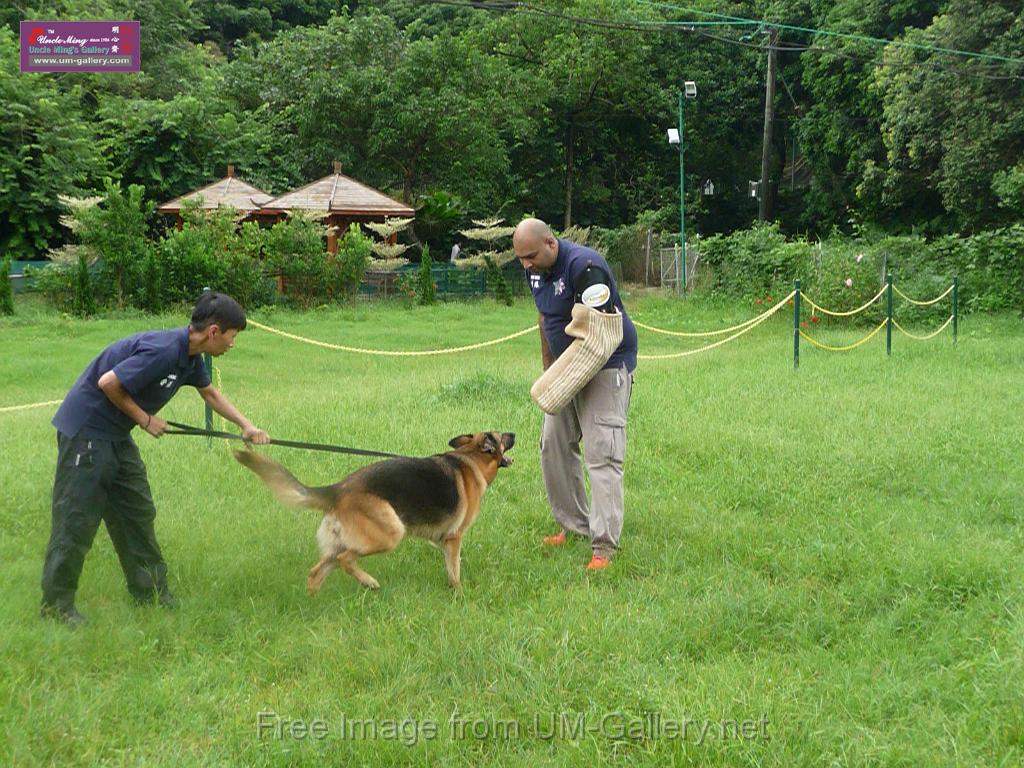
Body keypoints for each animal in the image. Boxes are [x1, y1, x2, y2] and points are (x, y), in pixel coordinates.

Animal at [235, 434, 516, 593]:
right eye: (502, 436)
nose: (513, 433)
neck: (470, 459)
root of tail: (337, 490)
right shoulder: (454, 538)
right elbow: (454, 570)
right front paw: (459, 594)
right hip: (389, 533)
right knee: (346, 560)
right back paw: (369, 582)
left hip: (339, 543)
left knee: (317, 573)